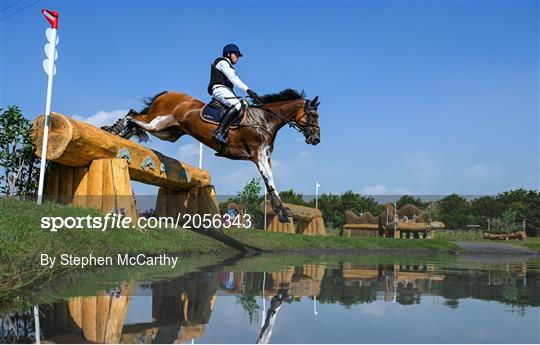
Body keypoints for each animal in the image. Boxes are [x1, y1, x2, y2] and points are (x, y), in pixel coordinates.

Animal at [102, 88, 320, 222]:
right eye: (314, 115)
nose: (316, 139)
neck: (264, 120)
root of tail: (167, 93)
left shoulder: (265, 156)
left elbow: (271, 180)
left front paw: (282, 210)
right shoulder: (258, 155)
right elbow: (270, 181)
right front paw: (282, 211)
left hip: (168, 132)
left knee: (137, 120)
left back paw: (118, 133)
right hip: (159, 123)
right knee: (133, 116)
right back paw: (114, 128)